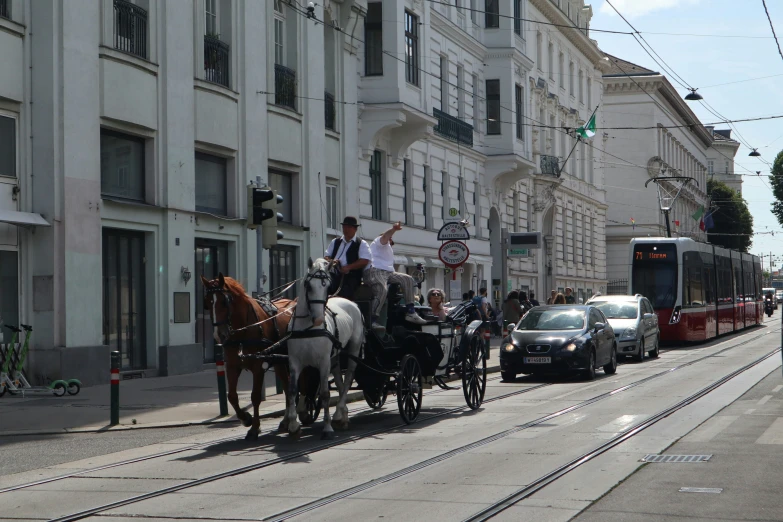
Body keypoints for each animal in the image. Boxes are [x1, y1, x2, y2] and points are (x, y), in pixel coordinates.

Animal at [201, 272, 298, 438]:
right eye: (207, 302)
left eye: (224, 302)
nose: (219, 335)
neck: (243, 330)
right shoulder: (232, 365)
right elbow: (232, 396)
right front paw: (246, 418)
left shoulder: (258, 366)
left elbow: (255, 396)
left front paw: (254, 428)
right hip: (279, 361)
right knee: (287, 385)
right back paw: (286, 421)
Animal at [284, 258, 364, 436]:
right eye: (308, 285)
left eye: (327, 286)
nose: (320, 319)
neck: (308, 328)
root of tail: (352, 303)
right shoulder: (294, 361)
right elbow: (292, 390)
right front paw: (293, 425)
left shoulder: (323, 362)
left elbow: (325, 393)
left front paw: (327, 427)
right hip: (335, 356)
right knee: (340, 382)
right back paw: (342, 415)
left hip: (353, 349)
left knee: (348, 378)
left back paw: (338, 413)